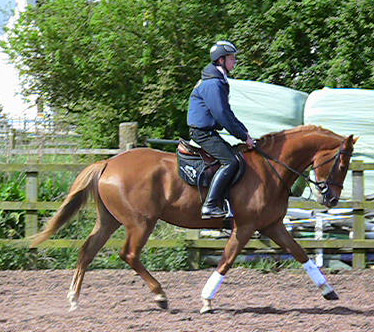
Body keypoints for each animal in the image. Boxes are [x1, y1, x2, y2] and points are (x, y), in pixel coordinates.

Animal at [31, 125, 354, 314]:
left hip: (110, 220)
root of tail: (108, 162)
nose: (331, 199)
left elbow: (300, 254)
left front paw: (328, 290)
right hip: (141, 222)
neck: (269, 169)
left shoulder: (272, 226)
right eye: (341, 162)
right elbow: (227, 259)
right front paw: (207, 299)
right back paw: (160, 296)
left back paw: (74, 298)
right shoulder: (245, 227)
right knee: (129, 254)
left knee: (88, 250)